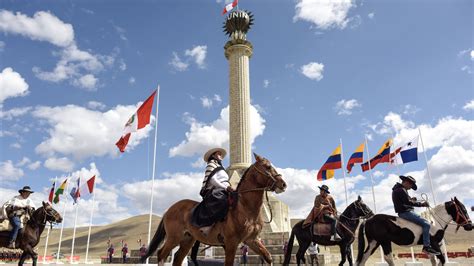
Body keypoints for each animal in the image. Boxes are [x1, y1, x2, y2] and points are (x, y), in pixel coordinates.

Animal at [141, 154, 286, 266]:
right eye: (268, 167)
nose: (283, 184)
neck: (245, 207)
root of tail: (169, 210)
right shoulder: (231, 242)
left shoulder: (251, 240)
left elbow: (268, 257)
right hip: (174, 237)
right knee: (161, 254)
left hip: (187, 239)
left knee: (177, 259)